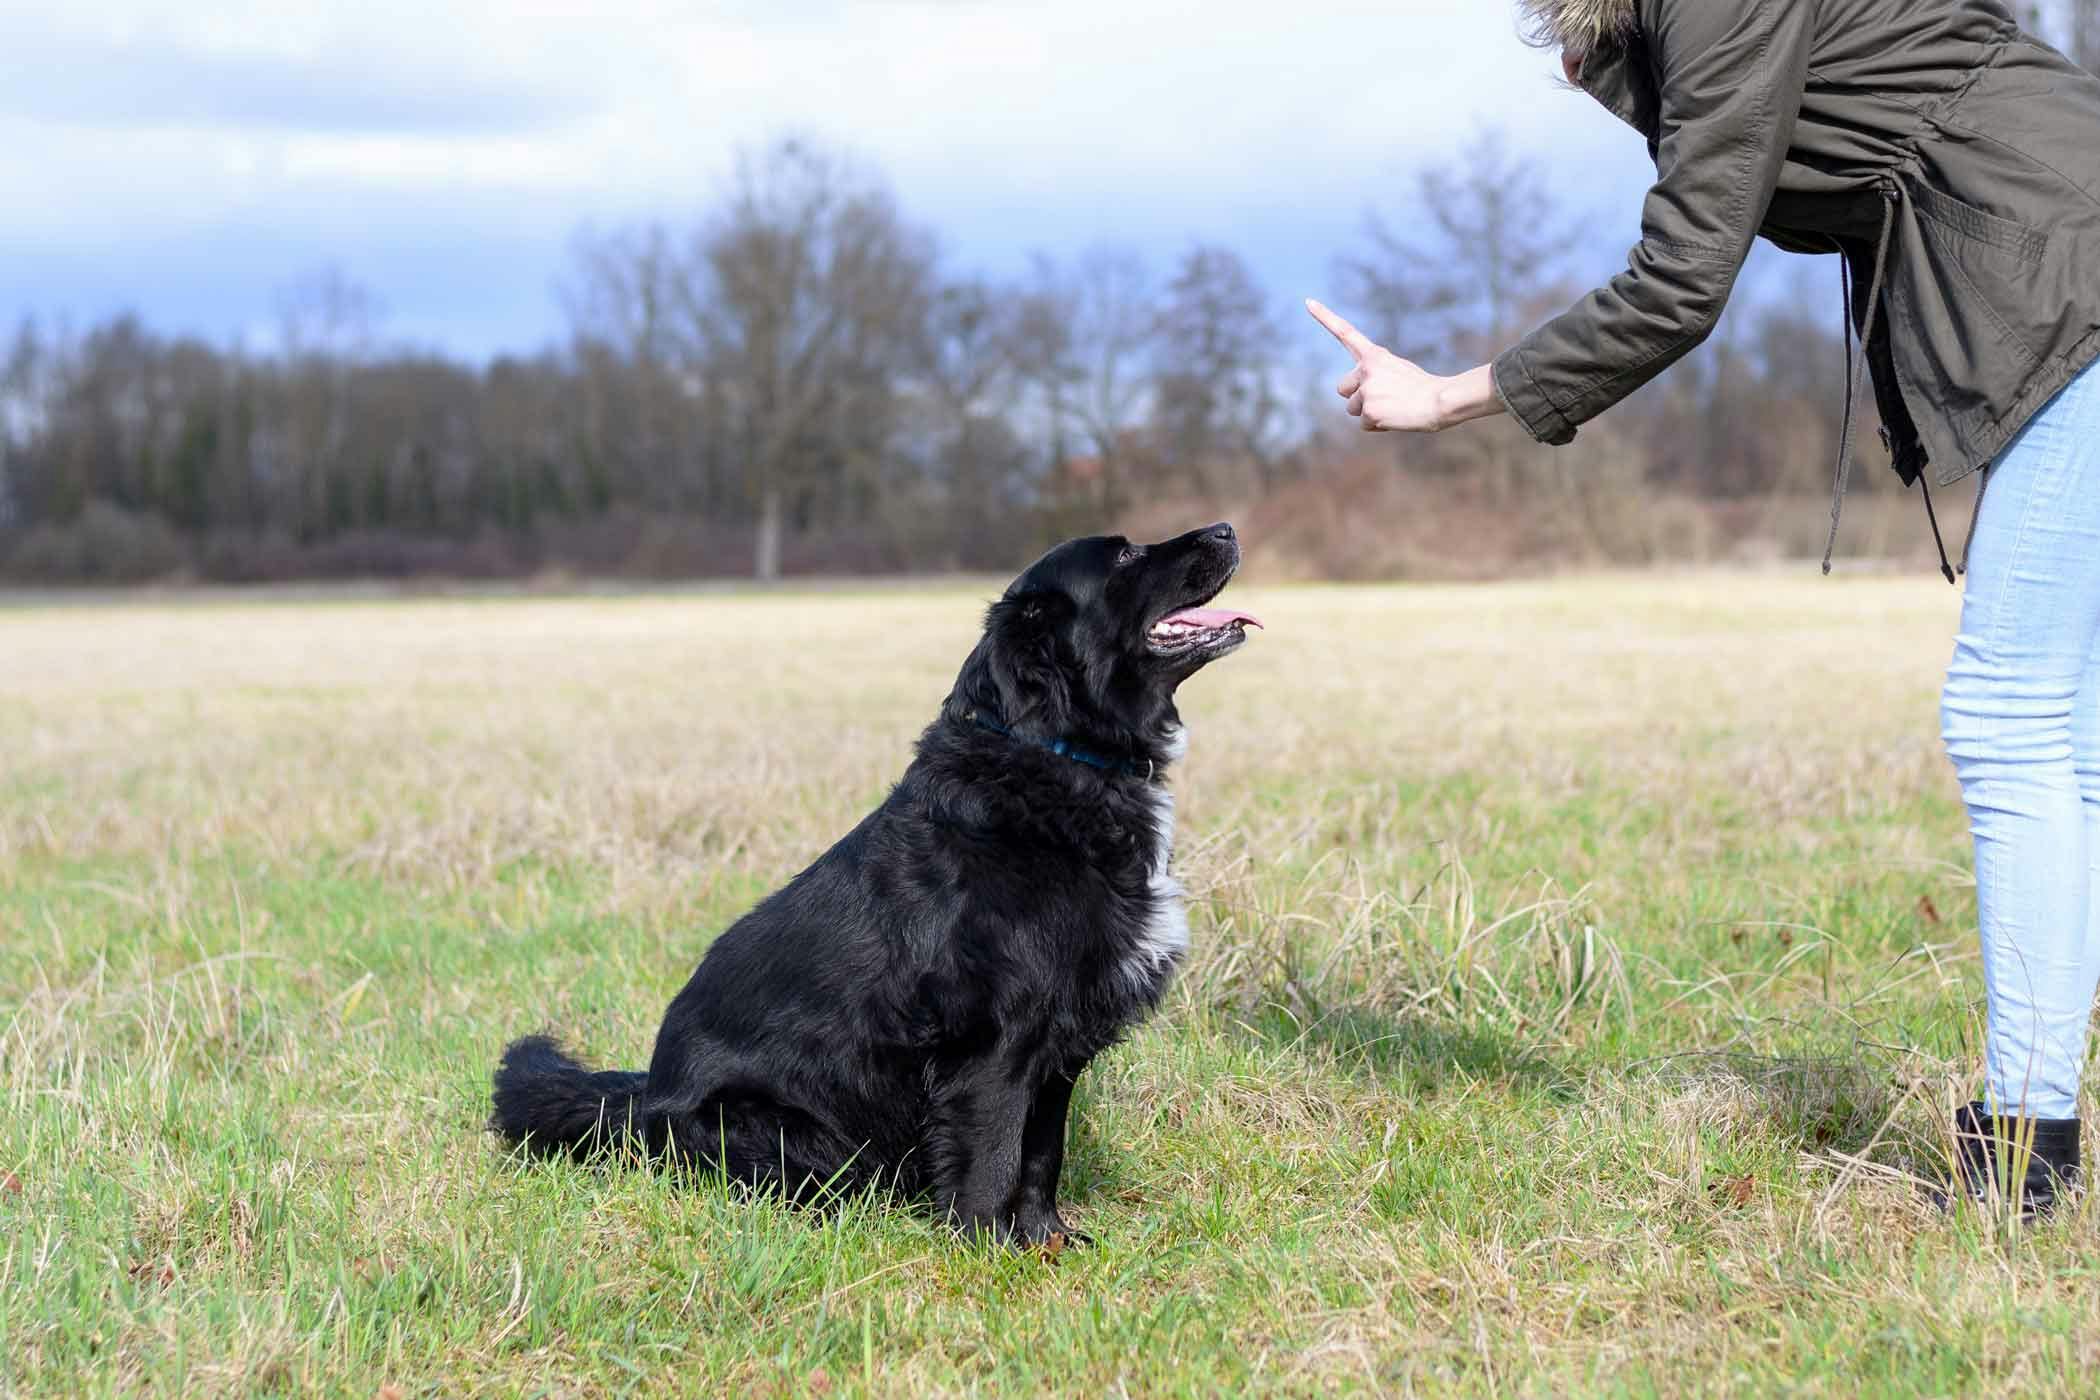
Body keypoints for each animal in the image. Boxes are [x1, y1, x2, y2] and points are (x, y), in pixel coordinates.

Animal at [487, 522, 1260, 1234]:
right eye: (1125, 555)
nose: (1226, 528)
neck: (1057, 757)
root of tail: (643, 1100)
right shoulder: (994, 1043)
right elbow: (994, 1159)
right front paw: (989, 1252)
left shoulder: (1057, 1044)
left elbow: (1042, 1157)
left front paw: (1047, 1242)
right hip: (777, 1130)